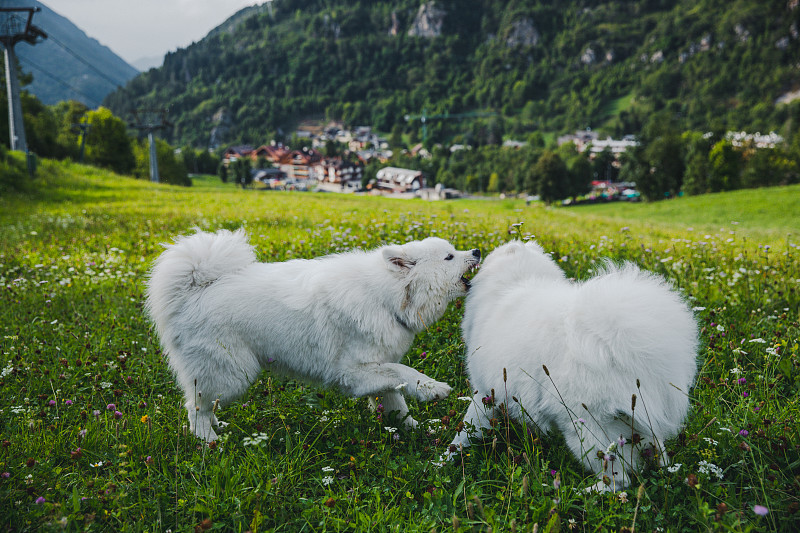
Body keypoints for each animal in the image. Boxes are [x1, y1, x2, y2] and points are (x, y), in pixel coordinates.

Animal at [146, 229, 478, 440]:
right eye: (449, 257)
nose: (476, 250)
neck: (388, 297)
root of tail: (193, 290)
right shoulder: (351, 372)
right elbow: (403, 371)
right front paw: (432, 388)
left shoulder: (375, 367)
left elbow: (396, 398)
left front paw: (415, 429)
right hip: (231, 373)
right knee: (195, 409)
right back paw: (208, 442)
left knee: (200, 403)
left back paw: (218, 427)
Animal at [446, 241, 696, 490]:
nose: (477, 252)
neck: (518, 279)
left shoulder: (484, 392)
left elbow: (466, 427)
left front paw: (448, 455)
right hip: (637, 421)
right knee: (656, 447)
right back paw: (663, 467)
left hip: (585, 428)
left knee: (617, 478)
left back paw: (586, 491)